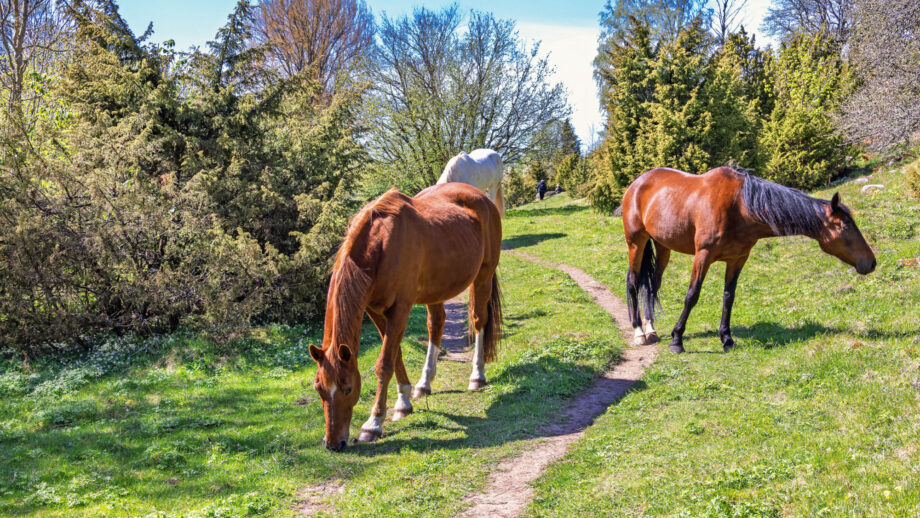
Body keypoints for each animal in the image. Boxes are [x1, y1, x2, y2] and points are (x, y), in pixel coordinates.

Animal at [308, 183, 503, 451]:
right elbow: (395, 354)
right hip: (437, 289)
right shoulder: (375, 310)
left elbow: (384, 363)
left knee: (478, 321)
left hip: (483, 275)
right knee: (436, 324)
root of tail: (481, 196)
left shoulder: (400, 309)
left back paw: (477, 376)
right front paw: (403, 401)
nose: (332, 443)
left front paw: (373, 423)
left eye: (348, 389)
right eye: (319, 389)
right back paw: (424, 383)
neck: (380, 244)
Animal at [622, 166, 876, 354]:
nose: (871, 262)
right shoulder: (703, 256)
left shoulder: (738, 259)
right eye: (845, 226)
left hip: (663, 246)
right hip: (636, 243)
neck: (739, 206)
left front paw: (727, 339)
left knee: (652, 286)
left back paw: (651, 328)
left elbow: (729, 297)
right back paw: (639, 332)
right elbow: (692, 296)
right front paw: (677, 340)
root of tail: (638, 183)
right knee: (633, 283)